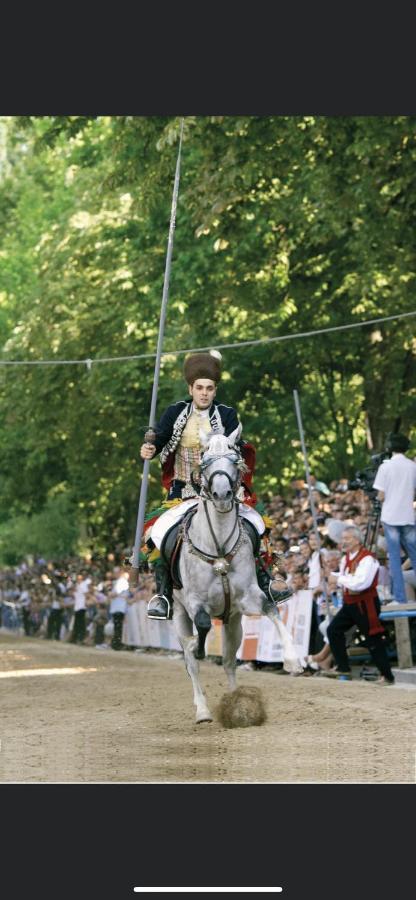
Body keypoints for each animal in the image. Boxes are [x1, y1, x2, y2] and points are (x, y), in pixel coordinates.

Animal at [172, 430, 302, 724]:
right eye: (205, 461)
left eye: (235, 459)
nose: (222, 494)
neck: (218, 544)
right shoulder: (195, 602)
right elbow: (201, 626)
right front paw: (197, 646)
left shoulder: (248, 597)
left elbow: (271, 609)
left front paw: (293, 661)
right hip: (179, 612)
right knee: (191, 661)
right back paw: (203, 710)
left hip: (233, 619)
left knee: (230, 661)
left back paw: (236, 702)